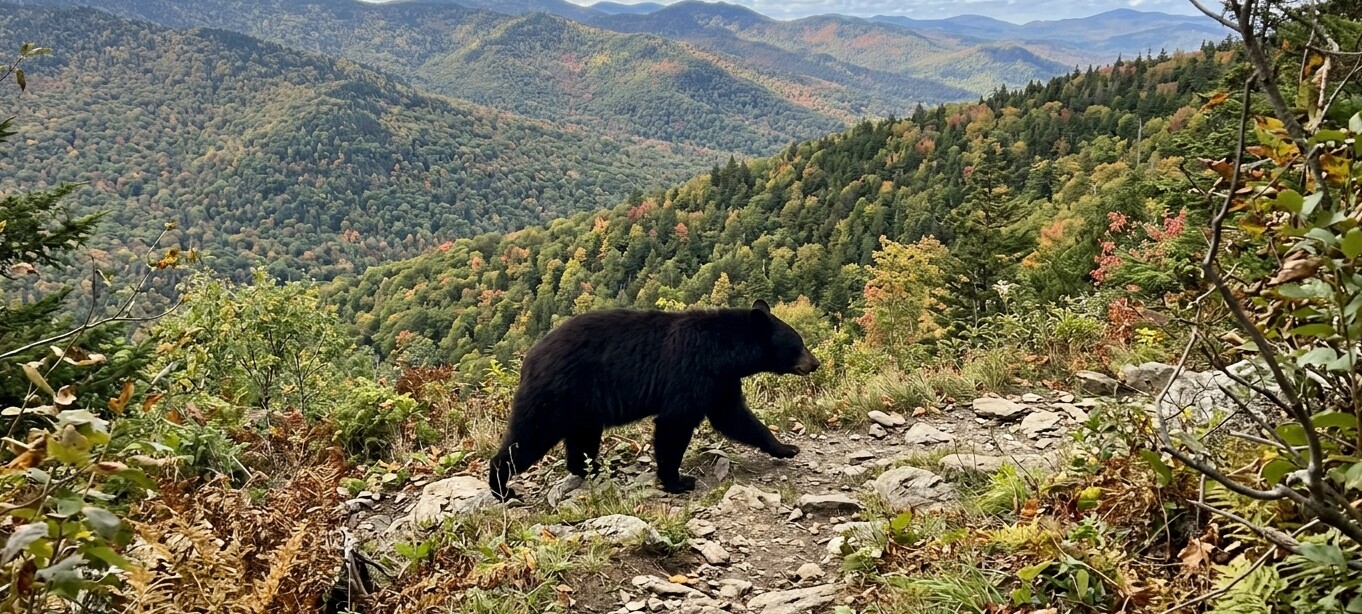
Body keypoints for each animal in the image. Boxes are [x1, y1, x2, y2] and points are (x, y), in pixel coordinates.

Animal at [488, 299, 819, 501]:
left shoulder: (719, 382)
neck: (724, 352)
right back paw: (502, 488)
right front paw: (678, 481)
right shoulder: (691, 373)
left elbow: (735, 417)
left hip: (583, 407)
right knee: (528, 437)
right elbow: (675, 424)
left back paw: (594, 470)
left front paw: (785, 448)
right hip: (555, 395)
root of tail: (530, 357)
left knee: (582, 441)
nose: (815, 363)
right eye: (799, 344)